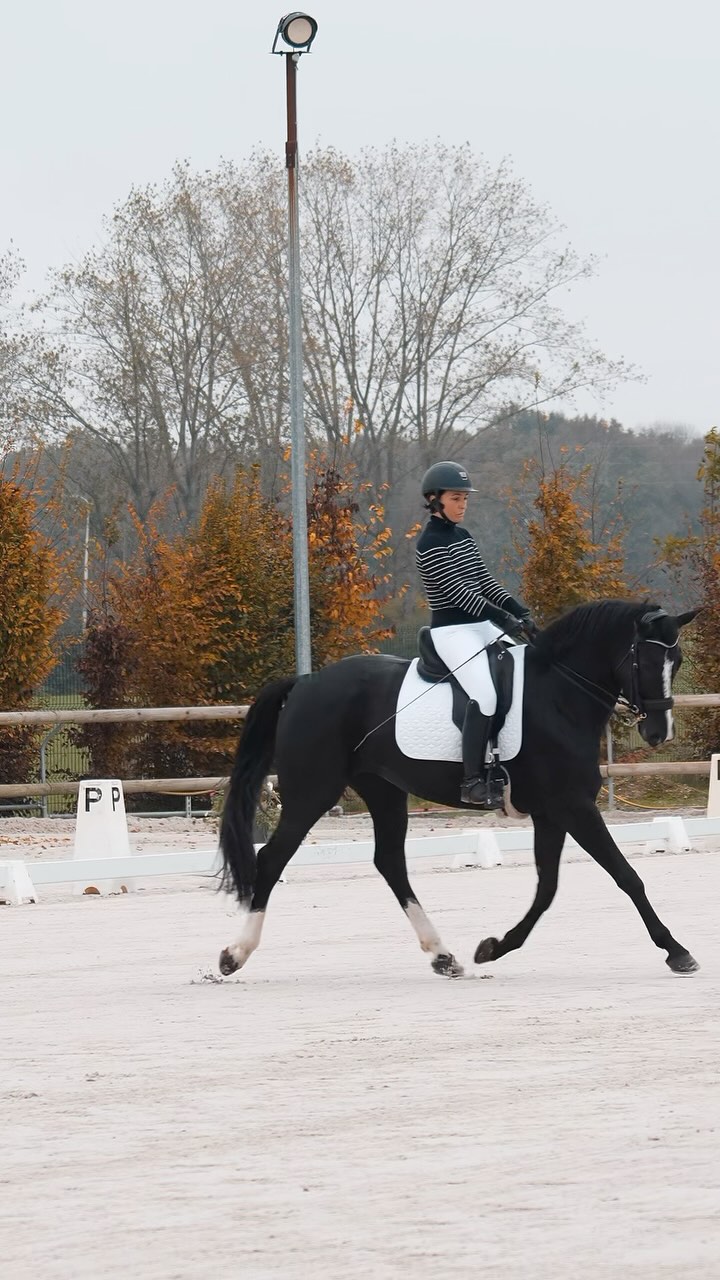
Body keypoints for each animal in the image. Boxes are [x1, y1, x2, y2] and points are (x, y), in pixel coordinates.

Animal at [218, 599, 700, 979]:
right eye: (645, 661)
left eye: (675, 662)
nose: (659, 732)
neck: (559, 693)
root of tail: (305, 683)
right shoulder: (574, 806)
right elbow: (626, 875)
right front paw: (677, 951)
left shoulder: (552, 811)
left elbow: (547, 888)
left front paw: (493, 947)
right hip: (313, 791)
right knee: (272, 858)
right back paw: (234, 955)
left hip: (383, 790)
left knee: (389, 862)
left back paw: (442, 955)